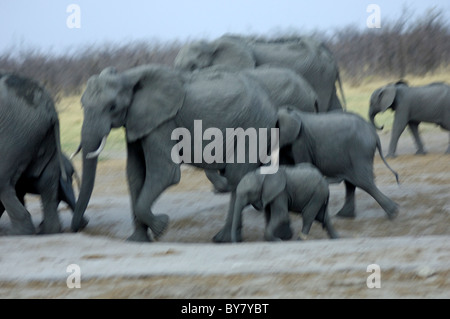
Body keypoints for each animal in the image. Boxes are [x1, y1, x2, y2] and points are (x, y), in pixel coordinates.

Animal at [0, 73, 76, 235]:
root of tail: (49, 108)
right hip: (41, 134)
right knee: (47, 180)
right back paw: (49, 230)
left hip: (15, 133)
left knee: (3, 182)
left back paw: (17, 233)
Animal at [71, 66, 280, 244]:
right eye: (81, 105)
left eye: (112, 107)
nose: (80, 226)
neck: (128, 77)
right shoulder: (137, 122)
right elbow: (134, 174)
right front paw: (137, 241)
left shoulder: (163, 123)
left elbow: (166, 173)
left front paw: (162, 226)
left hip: (254, 126)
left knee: (237, 175)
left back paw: (224, 239)